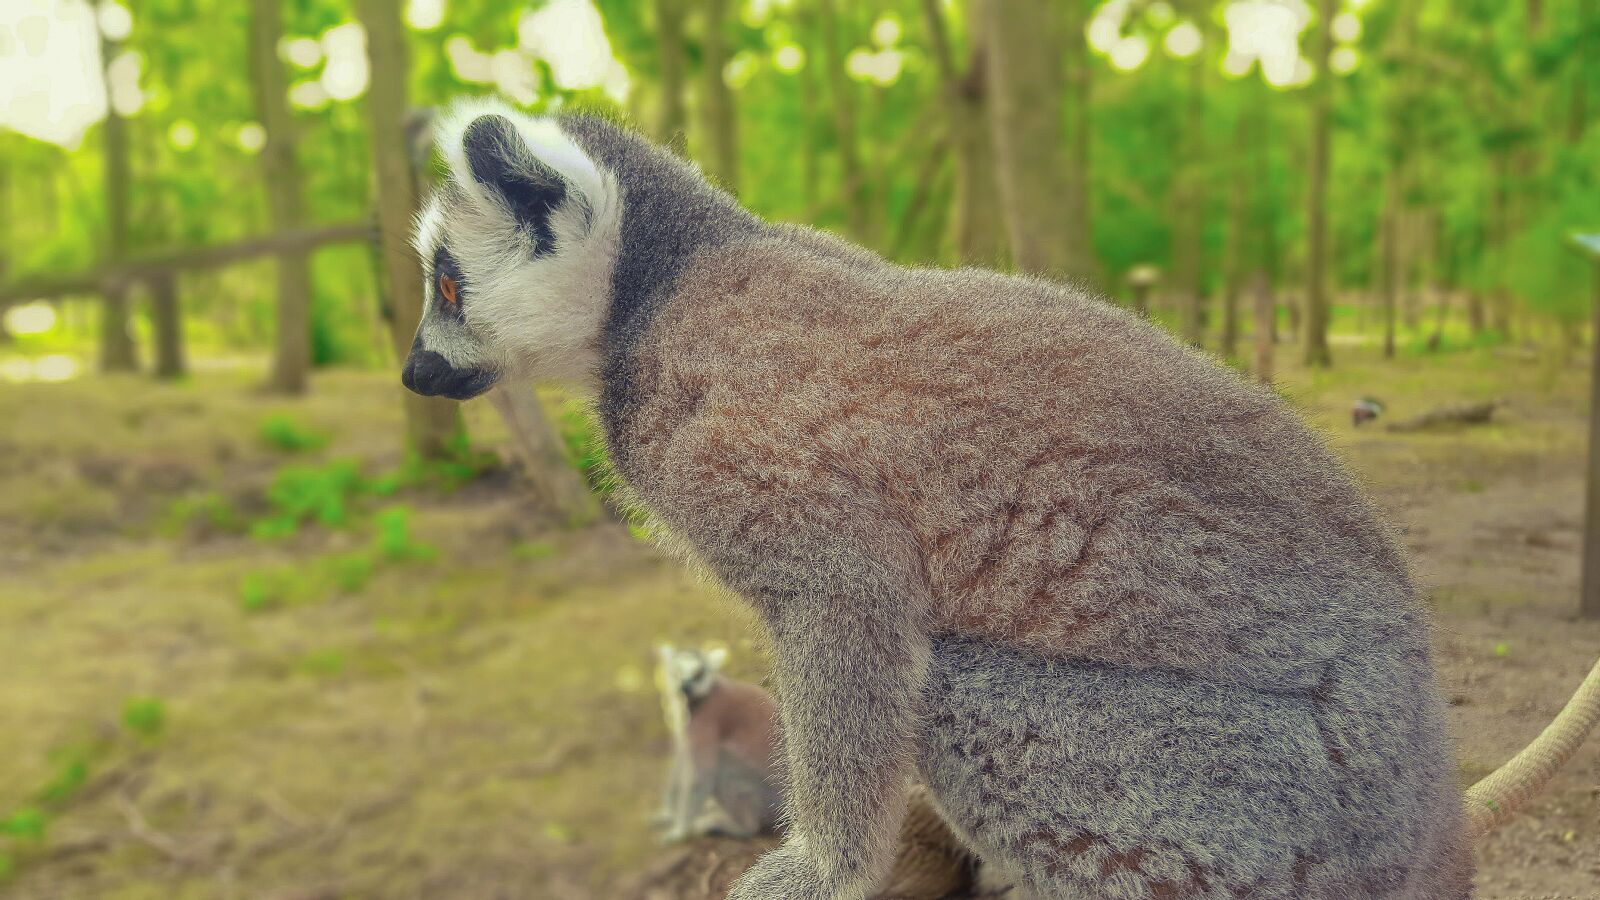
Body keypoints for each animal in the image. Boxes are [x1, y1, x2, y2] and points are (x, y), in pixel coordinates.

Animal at [652, 644, 783, 842]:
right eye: (677, 670)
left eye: (698, 673)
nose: (686, 686)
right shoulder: (683, 731)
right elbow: (681, 759)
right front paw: (668, 813)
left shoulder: (707, 719)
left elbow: (703, 773)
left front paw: (680, 831)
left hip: (767, 798)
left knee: (723, 762)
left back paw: (738, 826)